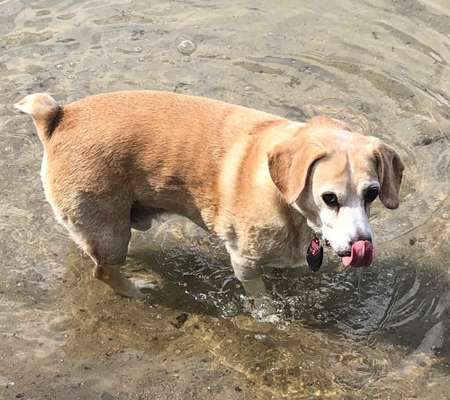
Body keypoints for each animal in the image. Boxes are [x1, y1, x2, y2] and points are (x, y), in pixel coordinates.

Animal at [14, 90, 404, 296]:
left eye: (372, 194)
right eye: (330, 198)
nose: (362, 245)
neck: (282, 195)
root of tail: (58, 117)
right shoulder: (245, 263)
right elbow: (260, 299)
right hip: (110, 233)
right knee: (104, 272)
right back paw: (137, 289)